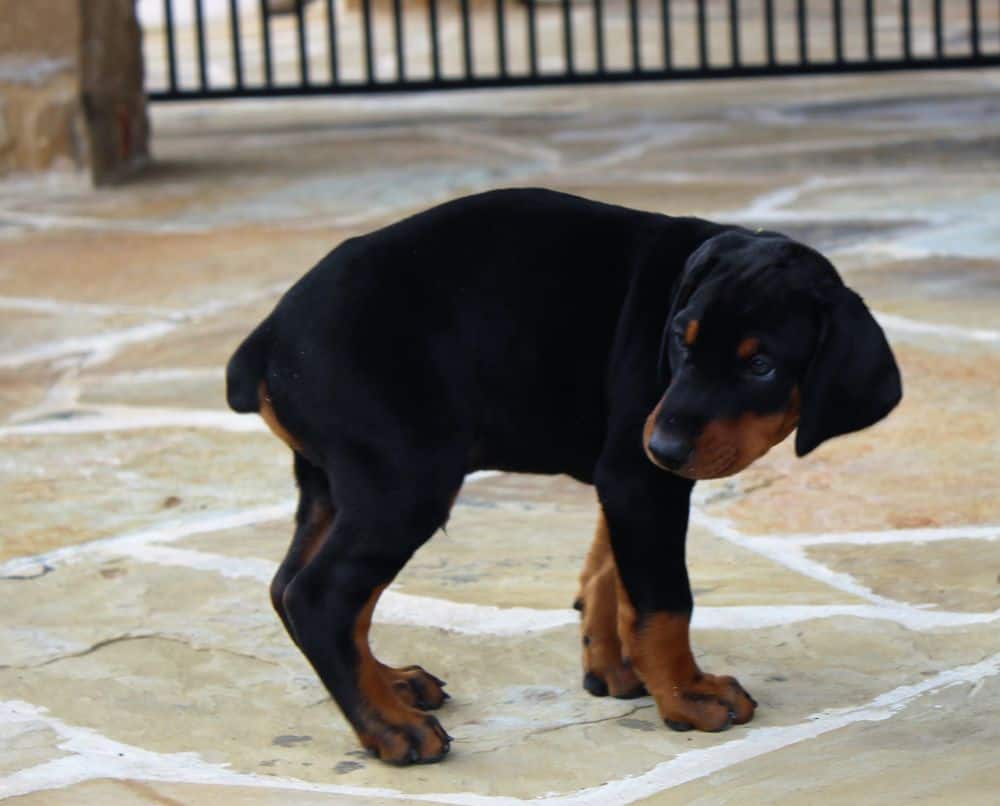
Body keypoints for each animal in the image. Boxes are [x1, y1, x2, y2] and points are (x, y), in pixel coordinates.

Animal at [229, 188, 908, 764]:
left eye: (762, 365)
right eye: (680, 341)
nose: (663, 444)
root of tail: (267, 339)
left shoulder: (630, 475)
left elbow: (610, 569)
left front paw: (611, 667)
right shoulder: (639, 476)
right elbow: (665, 601)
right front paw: (686, 695)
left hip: (334, 481)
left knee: (292, 588)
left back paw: (393, 684)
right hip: (403, 482)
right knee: (320, 597)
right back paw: (392, 729)